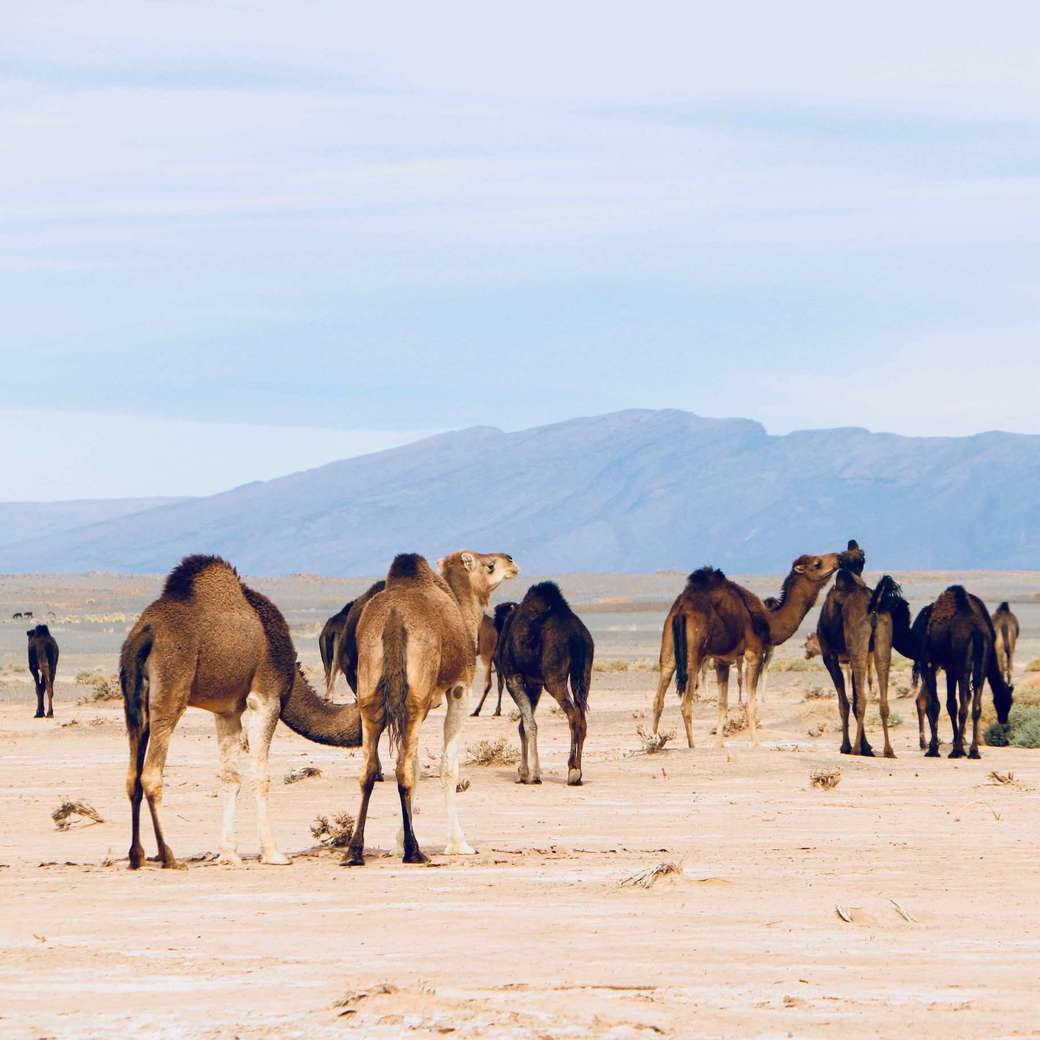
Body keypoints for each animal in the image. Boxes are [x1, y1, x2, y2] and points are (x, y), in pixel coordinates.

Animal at [120, 555, 364, 870]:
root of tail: (144, 635)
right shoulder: (266, 696)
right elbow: (261, 774)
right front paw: (273, 853)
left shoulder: (227, 712)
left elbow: (230, 777)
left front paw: (228, 853)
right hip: (169, 693)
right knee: (150, 774)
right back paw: (168, 856)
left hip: (133, 703)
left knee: (132, 777)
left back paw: (136, 856)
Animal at [344, 550, 518, 867]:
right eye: (489, 565)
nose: (511, 560)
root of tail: (394, 618)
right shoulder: (459, 688)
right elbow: (447, 766)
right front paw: (458, 843)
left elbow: (415, 767)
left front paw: (396, 844)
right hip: (415, 698)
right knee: (401, 769)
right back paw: (414, 851)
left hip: (370, 692)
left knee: (369, 769)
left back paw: (354, 851)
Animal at [495, 583, 594, 785]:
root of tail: (577, 636)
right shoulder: (535, 684)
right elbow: (523, 725)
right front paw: (523, 773)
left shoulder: (514, 678)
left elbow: (529, 725)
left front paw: (532, 775)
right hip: (583, 674)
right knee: (582, 715)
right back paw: (577, 773)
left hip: (554, 679)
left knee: (573, 714)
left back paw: (572, 770)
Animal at [652, 551, 846, 749]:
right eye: (817, 563)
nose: (838, 557)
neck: (768, 622)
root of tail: (682, 610)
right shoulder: (754, 653)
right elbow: (751, 703)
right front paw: (755, 743)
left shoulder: (722, 659)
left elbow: (722, 704)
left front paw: (719, 744)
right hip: (694, 653)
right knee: (686, 704)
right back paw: (692, 746)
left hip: (669, 645)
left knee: (659, 696)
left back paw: (653, 740)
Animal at [917, 586, 1013, 759]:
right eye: (1005, 702)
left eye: (1009, 702)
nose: (1004, 720)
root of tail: (975, 632)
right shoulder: (950, 667)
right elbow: (952, 704)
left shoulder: (936, 663)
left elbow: (942, 705)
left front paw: (934, 749)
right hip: (979, 664)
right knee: (975, 706)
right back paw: (973, 751)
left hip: (960, 664)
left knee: (959, 705)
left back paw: (956, 750)